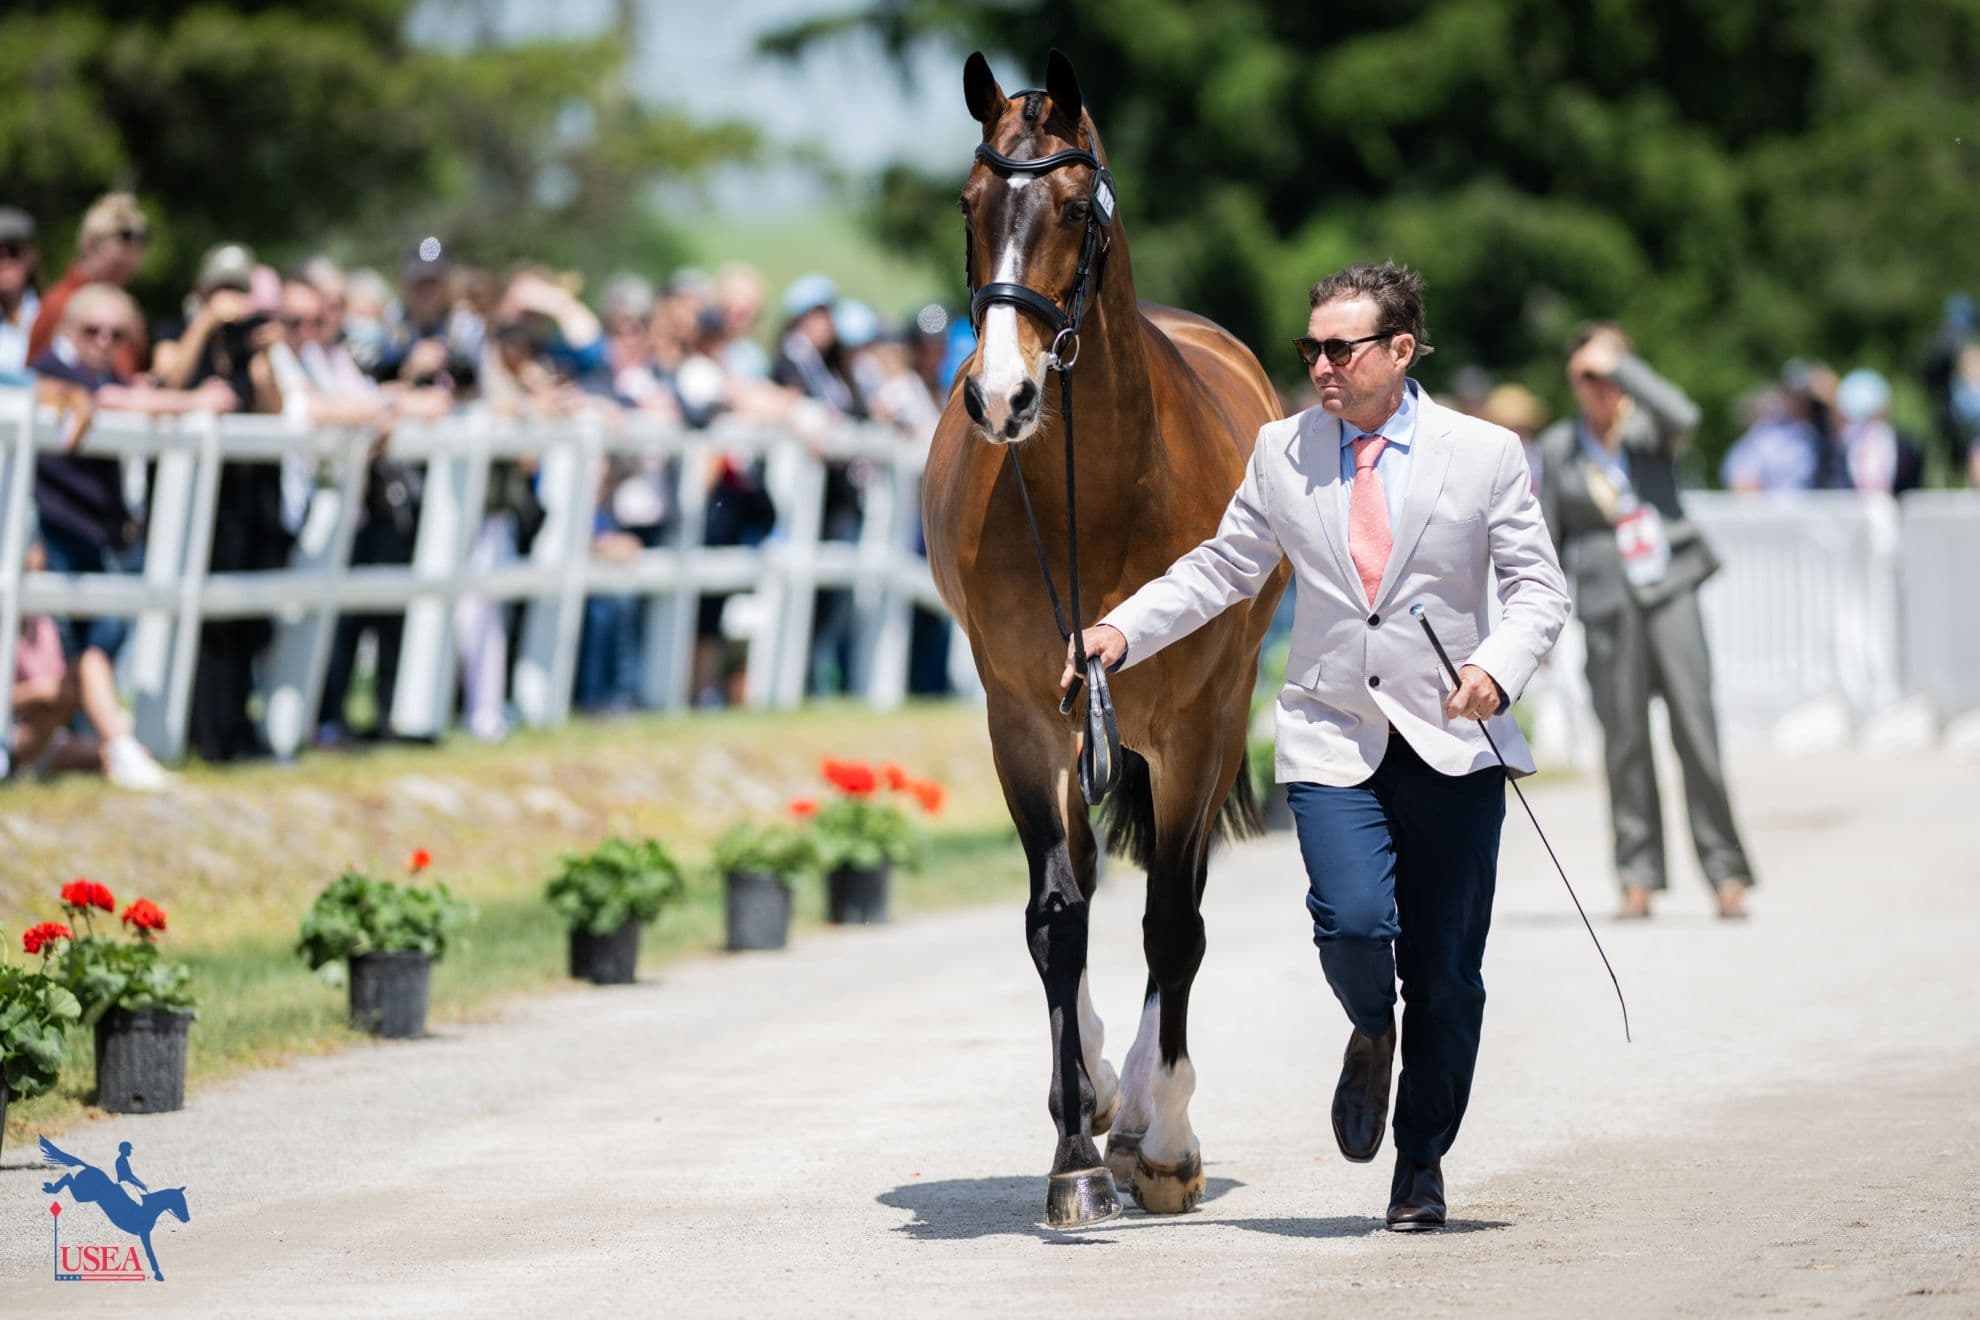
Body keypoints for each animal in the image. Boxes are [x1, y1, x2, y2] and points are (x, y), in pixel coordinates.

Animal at [41, 1137, 190, 1282]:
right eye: (180, 1202)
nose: (187, 1219)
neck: (150, 1208)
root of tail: (88, 1167)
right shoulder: (144, 1232)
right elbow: (150, 1252)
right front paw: (158, 1274)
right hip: (83, 1195)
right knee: (68, 1177)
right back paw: (50, 1188)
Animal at [923, 49, 1290, 1228]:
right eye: (972, 205)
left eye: (1077, 208)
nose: (1000, 394)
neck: (1104, 494)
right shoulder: (1025, 722)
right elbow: (1057, 914)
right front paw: (1074, 1156)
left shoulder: (1198, 726)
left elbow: (1174, 920)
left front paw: (1163, 1144)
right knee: (1083, 885)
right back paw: (1090, 1098)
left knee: (1184, 898)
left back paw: (1137, 1113)